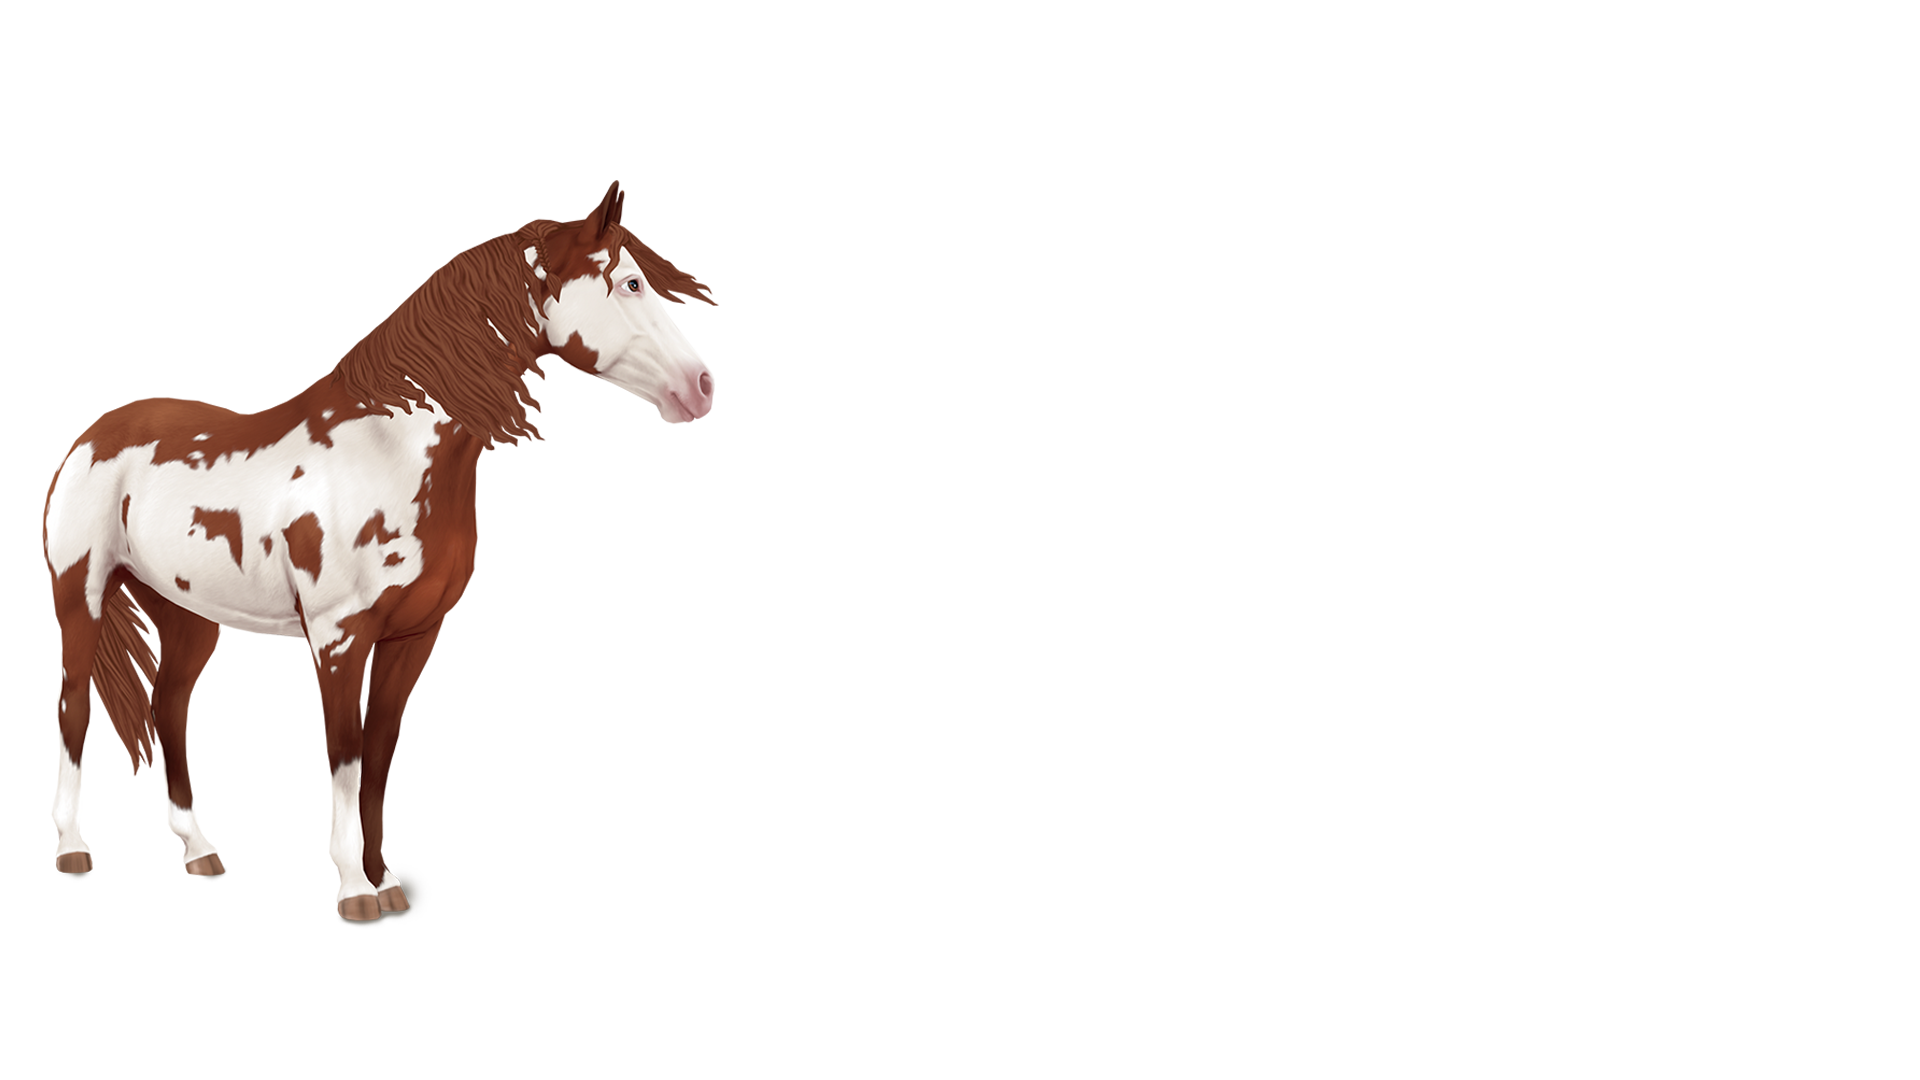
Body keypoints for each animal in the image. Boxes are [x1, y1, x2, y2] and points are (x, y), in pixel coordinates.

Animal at [42, 188, 718, 920]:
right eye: (631, 283)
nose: (705, 382)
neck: (387, 454)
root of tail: (93, 441)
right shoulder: (342, 635)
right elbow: (344, 750)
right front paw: (351, 890)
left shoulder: (412, 637)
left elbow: (380, 751)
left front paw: (383, 880)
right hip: (83, 595)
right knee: (75, 705)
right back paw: (73, 851)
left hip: (187, 610)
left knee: (167, 708)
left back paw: (198, 854)